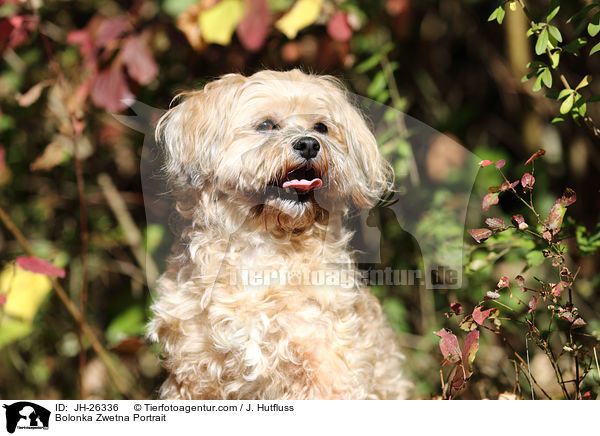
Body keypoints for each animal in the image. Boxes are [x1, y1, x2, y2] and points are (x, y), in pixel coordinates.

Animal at [149, 68, 412, 398]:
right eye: (266, 125)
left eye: (321, 127)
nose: (309, 144)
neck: (263, 246)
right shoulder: (193, 375)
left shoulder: (328, 367)